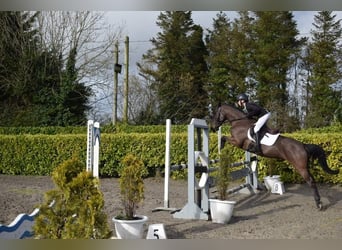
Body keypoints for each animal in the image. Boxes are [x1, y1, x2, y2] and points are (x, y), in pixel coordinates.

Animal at [211, 102, 340, 210]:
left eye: (216, 113)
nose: (214, 127)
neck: (238, 122)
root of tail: (303, 145)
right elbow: (224, 137)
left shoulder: (237, 142)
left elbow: (224, 138)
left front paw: (221, 148)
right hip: (304, 166)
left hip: (301, 167)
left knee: (311, 182)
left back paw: (319, 203)